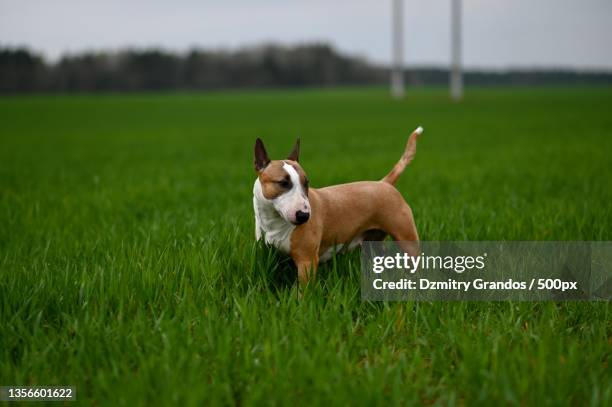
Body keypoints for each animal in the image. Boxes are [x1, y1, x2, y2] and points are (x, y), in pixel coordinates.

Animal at [252, 126, 420, 284]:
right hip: (373, 241)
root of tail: (384, 183)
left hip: (407, 237)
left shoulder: (307, 261)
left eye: (306, 183)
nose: (304, 216)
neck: (275, 221)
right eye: (283, 183)